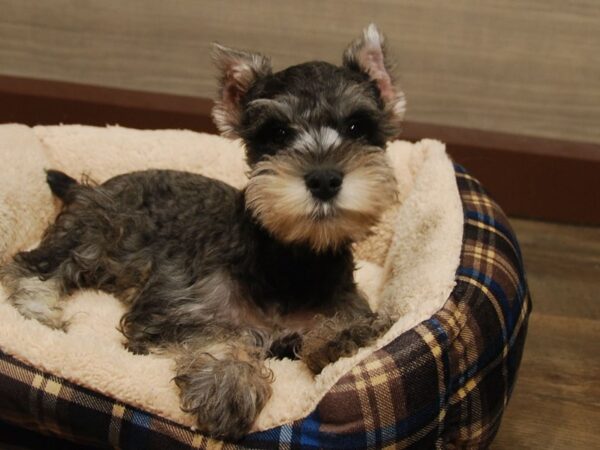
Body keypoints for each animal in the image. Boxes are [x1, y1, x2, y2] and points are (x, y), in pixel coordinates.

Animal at [0, 24, 406, 440]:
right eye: (276, 133)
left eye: (357, 126)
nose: (324, 179)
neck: (291, 261)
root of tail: (90, 189)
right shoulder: (169, 313)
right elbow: (220, 333)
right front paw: (227, 382)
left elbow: (330, 326)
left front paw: (343, 335)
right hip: (92, 234)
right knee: (32, 266)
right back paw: (40, 314)